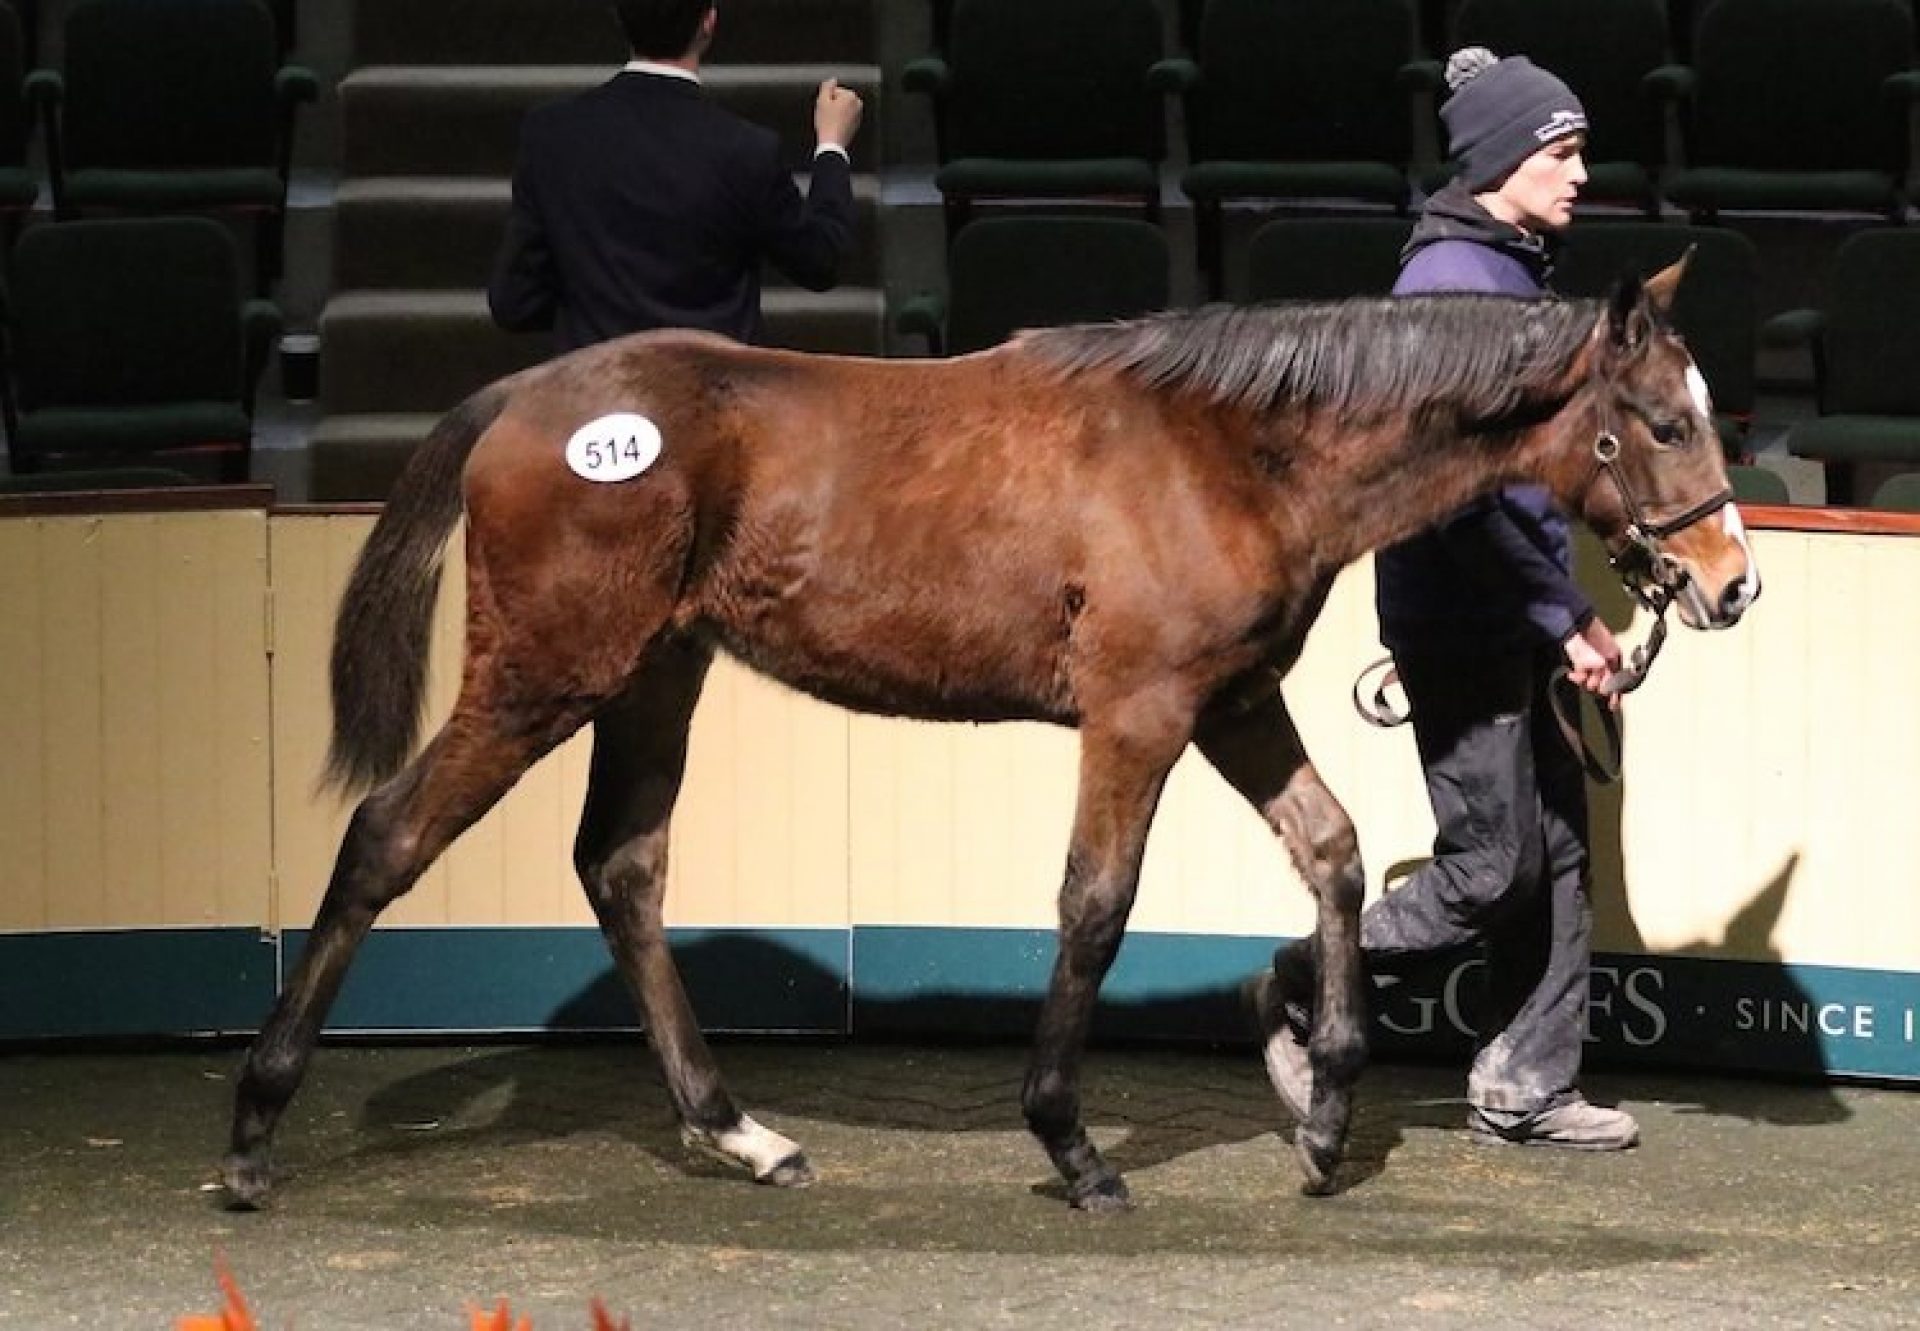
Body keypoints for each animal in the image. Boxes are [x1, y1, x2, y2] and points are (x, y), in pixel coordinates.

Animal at [220, 253, 1758, 1206]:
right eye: (1659, 420)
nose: (1732, 583)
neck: (1231, 447)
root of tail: (521, 399)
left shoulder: (1232, 700)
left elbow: (1330, 848)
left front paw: (1322, 1112)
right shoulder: (1137, 711)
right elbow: (1095, 899)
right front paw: (1073, 1142)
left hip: (656, 674)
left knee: (623, 865)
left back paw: (740, 1130)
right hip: (544, 673)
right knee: (387, 837)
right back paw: (251, 1128)